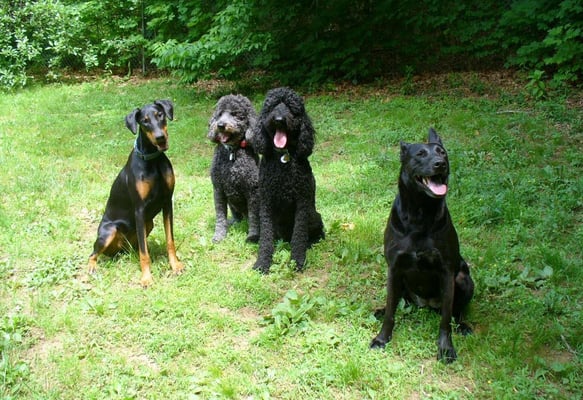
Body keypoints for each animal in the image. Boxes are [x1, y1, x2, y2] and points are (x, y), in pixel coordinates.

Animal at [85, 100, 182, 288]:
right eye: (144, 121)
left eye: (160, 115)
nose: (160, 137)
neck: (153, 160)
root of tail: (121, 247)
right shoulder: (139, 210)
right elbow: (145, 254)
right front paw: (146, 278)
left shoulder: (167, 202)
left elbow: (170, 240)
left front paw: (175, 265)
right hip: (109, 231)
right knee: (92, 254)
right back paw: (91, 268)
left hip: (148, 224)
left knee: (137, 247)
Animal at [206, 95, 258, 242]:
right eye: (219, 114)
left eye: (235, 114)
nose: (220, 125)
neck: (232, 152)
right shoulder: (218, 190)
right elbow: (220, 216)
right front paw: (219, 235)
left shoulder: (252, 191)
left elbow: (254, 217)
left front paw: (253, 236)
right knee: (237, 216)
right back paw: (234, 222)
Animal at [253, 88, 326, 274]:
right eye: (272, 106)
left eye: (291, 108)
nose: (279, 120)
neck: (282, 158)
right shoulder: (266, 203)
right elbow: (266, 237)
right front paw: (262, 262)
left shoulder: (302, 203)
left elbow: (299, 235)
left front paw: (297, 261)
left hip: (313, 215)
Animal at [372, 128, 476, 362]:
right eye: (420, 154)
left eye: (442, 152)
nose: (440, 164)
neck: (420, 213)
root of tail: (426, 304)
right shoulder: (394, 268)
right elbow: (391, 311)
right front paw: (382, 338)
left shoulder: (447, 273)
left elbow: (445, 321)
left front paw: (445, 348)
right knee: (398, 302)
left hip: (463, 279)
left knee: (456, 312)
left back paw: (463, 325)